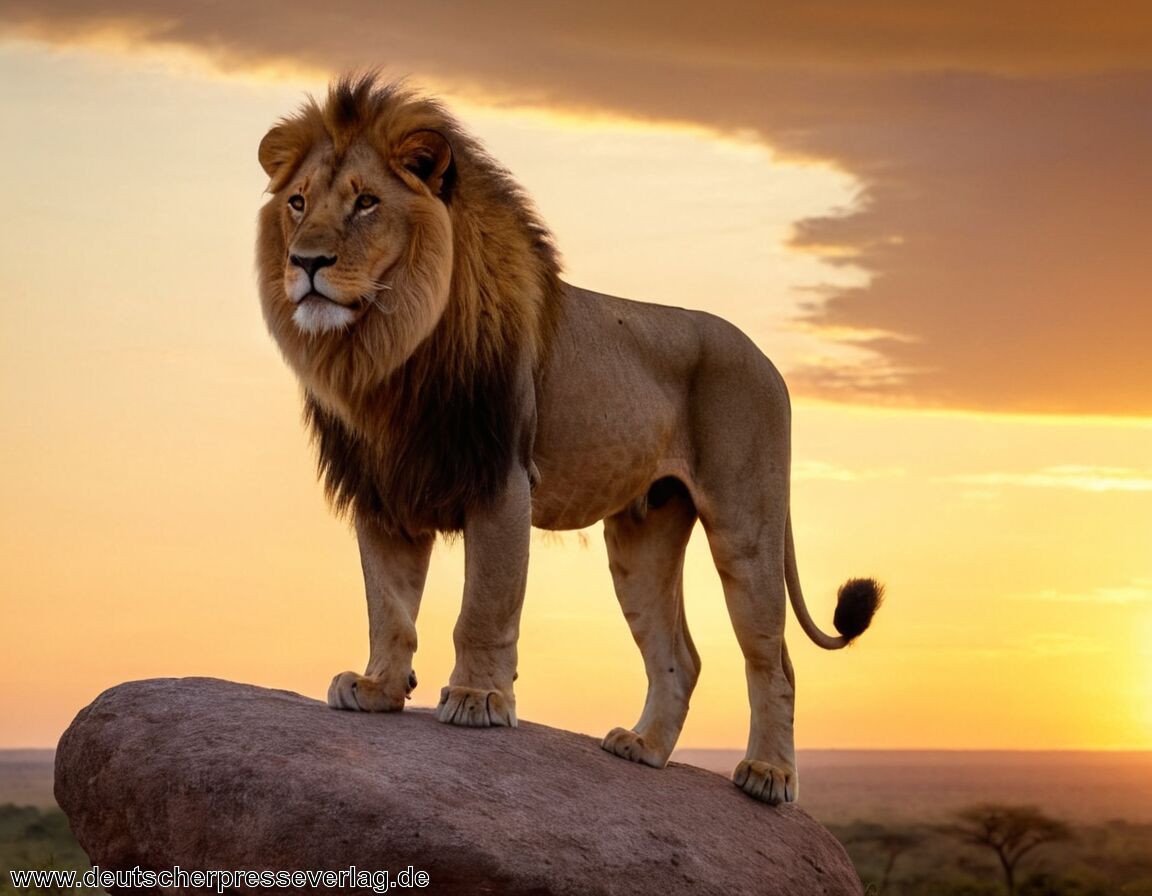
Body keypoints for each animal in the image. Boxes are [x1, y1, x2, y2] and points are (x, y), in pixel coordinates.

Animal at [256, 75, 882, 805]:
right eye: (298, 202)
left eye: (365, 203)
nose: (305, 262)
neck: (390, 350)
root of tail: (767, 360)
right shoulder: (384, 491)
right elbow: (388, 605)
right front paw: (379, 687)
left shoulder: (500, 479)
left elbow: (485, 604)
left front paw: (477, 700)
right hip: (643, 534)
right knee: (679, 656)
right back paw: (643, 748)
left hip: (746, 524)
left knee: (774, 660)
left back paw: (768, 775)